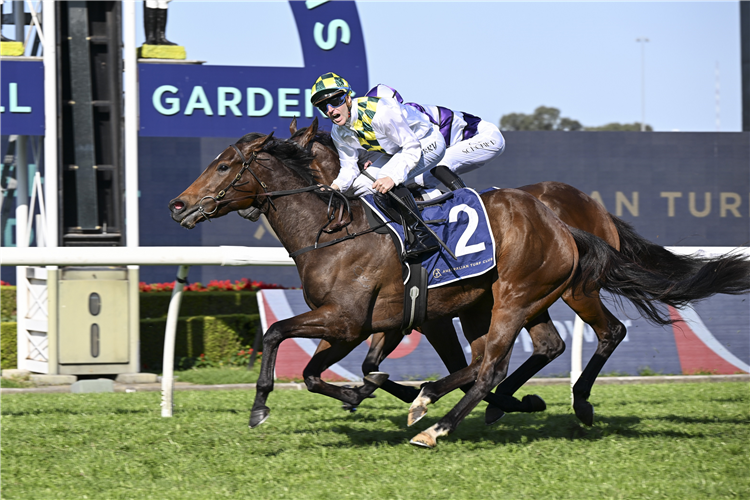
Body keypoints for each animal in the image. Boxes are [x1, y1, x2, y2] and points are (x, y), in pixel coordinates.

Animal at [167, 131, 748, 448]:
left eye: (224, 165)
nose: (178, 204)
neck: (333, 230)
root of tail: (570, 222)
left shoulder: (351, 319)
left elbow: (277, 336)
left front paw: (261, 406)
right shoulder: (367, 324)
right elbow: (320, 372)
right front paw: (360, 394)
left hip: (528, 295)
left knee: (509, 357)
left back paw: (448, 422)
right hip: (522, 299)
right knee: (533, 349)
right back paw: (474, 402)